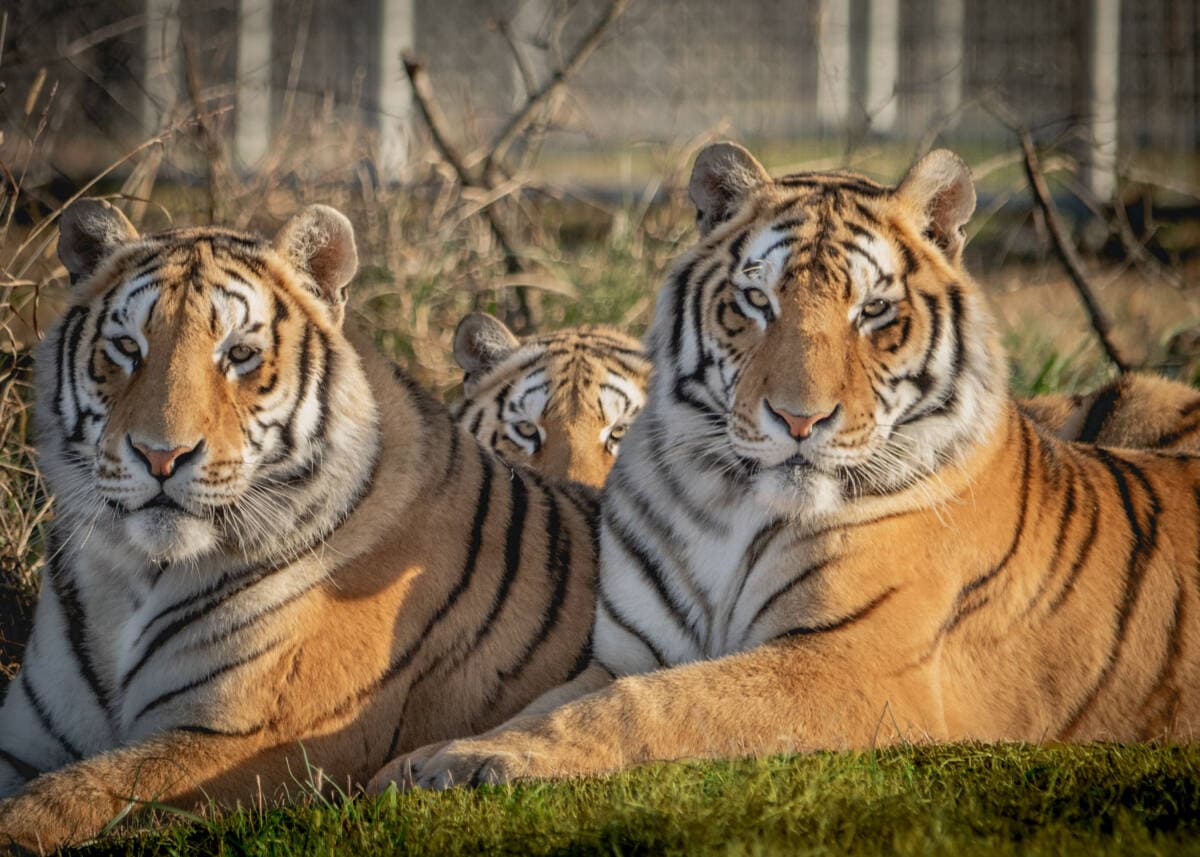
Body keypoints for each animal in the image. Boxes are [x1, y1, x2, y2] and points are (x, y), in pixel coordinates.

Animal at [0, 200, 599, 849]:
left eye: (239, 354)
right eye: (127, 347)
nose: (162, 457)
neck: (134, 575)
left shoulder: (260, 742)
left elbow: (70, 798)